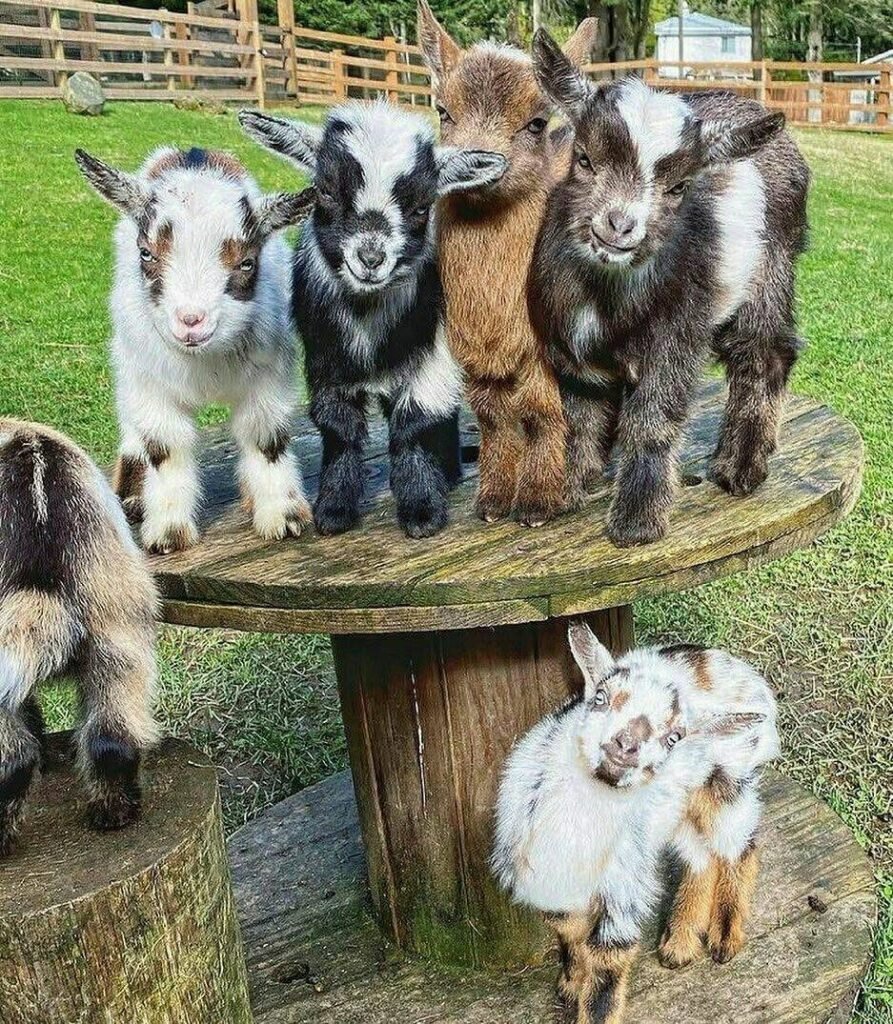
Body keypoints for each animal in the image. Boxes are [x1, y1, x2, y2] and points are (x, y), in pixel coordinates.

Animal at [75, 146, 315, 554]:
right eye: (147, 254)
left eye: (247, 262)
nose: (191, 321)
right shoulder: (151, 382)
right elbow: (165, 446)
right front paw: (168, 532)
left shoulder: (269, 376)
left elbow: (265, 436)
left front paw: (282, 518)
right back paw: (133, 496)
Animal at [239, 103, 505, 538]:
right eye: (325, 191)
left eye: (421, 207)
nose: (370, 258)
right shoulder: (324, 359)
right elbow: (338, 426)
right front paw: (334, 509)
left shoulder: (435, 353)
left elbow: (415, 421)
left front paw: (422, 509)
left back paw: (449, 474)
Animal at [417, 2, 598, 527]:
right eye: (442, 111)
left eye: (536, 123)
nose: (477, 163)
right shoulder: (474, 353)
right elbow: (493, 417)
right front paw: (494, 500)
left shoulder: (545, 350)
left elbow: (543, 412)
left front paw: (539, 501)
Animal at [492, 621, 779, 1023]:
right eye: (600, 698)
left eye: (674, 737)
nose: (626, 745)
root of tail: (736, 667)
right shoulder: (542, 877)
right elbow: (569, 929)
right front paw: (571, 983)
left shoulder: (622, 887)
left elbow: (607, 973)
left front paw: (587, 993)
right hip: (676, 809)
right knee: (700, 857)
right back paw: (678, 946)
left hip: (726, 786)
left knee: (739, 846)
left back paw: (724, 939)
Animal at [529, 31, 810, 548]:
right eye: (583, 158)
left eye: (679, 187)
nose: (619, 226)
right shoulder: (572, 344)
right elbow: (578, 413)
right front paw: (563, 491)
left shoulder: (675, 334)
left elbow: (653, 418)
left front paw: (636, 522)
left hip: (773, 268)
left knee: (763, 352)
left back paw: (740, 469)